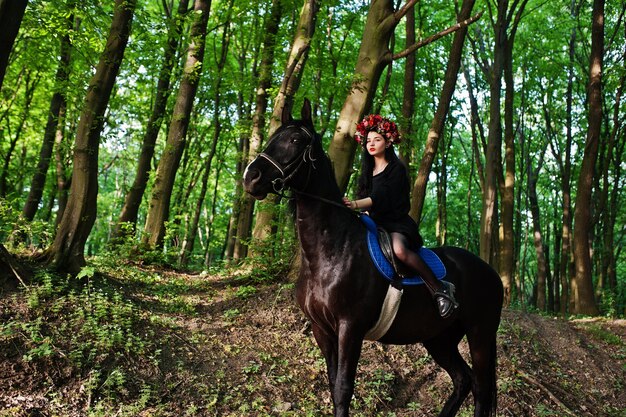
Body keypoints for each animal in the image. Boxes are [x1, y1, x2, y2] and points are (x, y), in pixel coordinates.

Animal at [243, 98, 502, 416]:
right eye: (272, 138)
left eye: (294, 140)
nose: (251, 177)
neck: (330, 252)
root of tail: (491, 273)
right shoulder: (321, 330)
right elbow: (333, 384)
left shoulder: (350, 327)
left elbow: (343, 388)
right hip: (439, 338)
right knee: (463, 380)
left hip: (480, 333)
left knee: (480, 388)